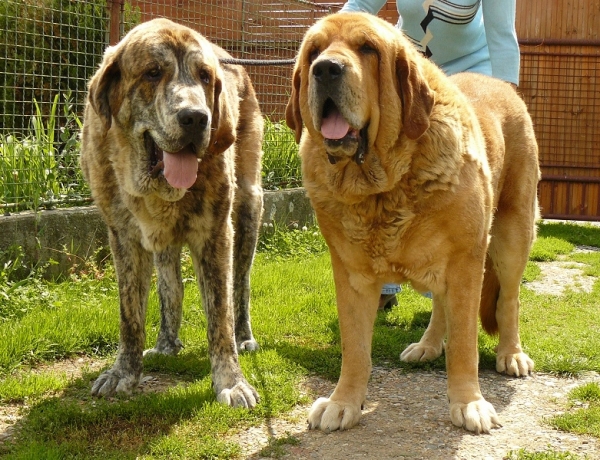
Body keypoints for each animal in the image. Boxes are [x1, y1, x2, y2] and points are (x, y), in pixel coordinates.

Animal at [81, 18, 264, 408]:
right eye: (152, 72)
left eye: (205, 76)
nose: (196, 118)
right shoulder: (123, 237)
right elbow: (130, 314)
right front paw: (124, 372)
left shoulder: (215, 233)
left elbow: (220, 313)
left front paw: (231, 381)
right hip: (162, 243)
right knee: (172, 287)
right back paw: (166, 343)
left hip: (248, 207)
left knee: (239, 285)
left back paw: (244, 335)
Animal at [286, 13, 540, 432]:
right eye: (313, 52)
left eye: (367, 49)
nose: (326, 68)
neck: (381, 187)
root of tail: (503, 86)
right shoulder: (351, 275)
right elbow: (355, 348)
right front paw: (344, 402)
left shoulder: (466, 262)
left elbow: (465, 344)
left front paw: (469, 403)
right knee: (440, 306)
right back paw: (428, 345)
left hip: (511, 235)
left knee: (509, 298)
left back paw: (511, 354)